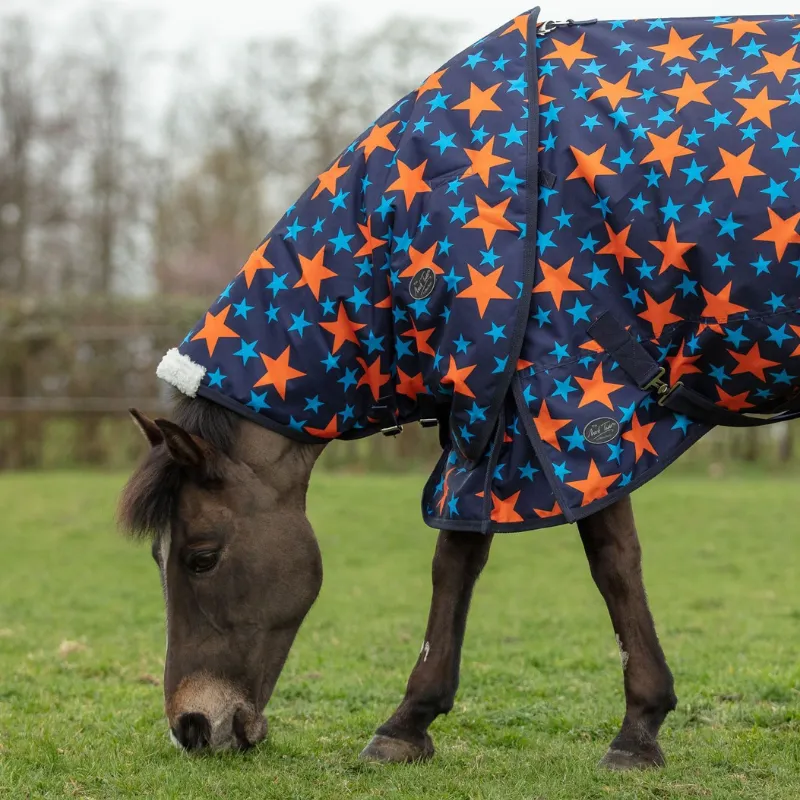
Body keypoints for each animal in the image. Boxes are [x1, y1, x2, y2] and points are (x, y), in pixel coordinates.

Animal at [119, 9, 800, 769]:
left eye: (202, 557)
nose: (191, 726)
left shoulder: (566, 401)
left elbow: (601, 561)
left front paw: (636, 728)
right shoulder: (502, 410)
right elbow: (470, 557)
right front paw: (411, 722)